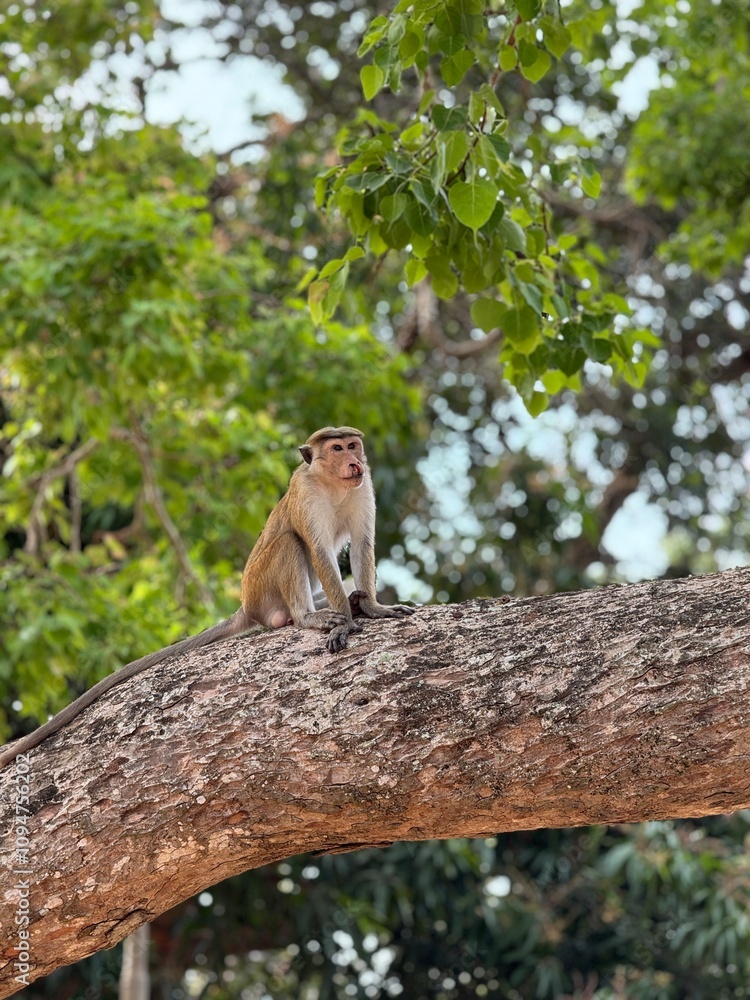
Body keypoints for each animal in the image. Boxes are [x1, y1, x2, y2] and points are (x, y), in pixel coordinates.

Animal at [0, 427, 414, 768]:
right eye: (338, 448)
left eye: (353, 445)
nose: (354, 461)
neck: (333, 484)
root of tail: (247, 605)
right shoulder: (307, 495)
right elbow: (318, 551)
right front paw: (345, 623)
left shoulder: (364, 487)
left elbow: (361, 544)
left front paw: (372, 606)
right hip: (263, 589)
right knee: (289, 543)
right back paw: (308, 616)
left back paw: (353, 601)